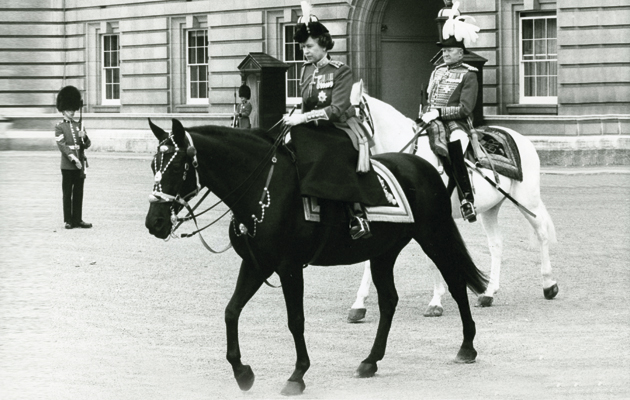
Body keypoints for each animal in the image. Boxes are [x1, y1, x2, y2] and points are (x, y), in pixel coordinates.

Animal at [147, 117, 488, 396]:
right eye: (153, 165)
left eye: (176, 167)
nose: (155, 222)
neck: (263, 188)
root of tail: (422, 165)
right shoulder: (256, 264)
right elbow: (231, 311)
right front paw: (242, 372)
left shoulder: (288, 267)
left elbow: (295, 320)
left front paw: (297, 375)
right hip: (383, 252)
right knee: (389, 300)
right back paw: (370, 361)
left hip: (435, 237)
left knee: (457, 285)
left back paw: (467, 346)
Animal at [348, 81, 560, 322]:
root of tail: (522, 138)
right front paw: (358, 305)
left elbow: (432, 257)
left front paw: (436, 301)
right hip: (490, 208)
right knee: (496, 244)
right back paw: (488, 293)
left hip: (527, 200)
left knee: (541, 233)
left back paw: (549, 284)